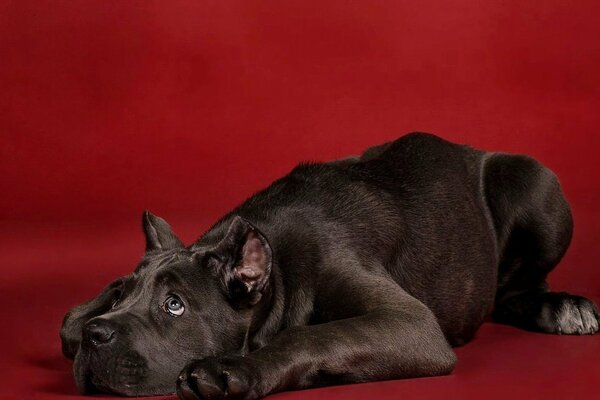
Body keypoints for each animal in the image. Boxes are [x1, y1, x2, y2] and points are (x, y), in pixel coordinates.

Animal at [62, 133, 600, 398]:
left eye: (174, 305)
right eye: (124, 295)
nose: (97, 336)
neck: (277, 268)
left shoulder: (411, 323)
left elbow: (311, 334)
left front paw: (236, 368)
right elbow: (68, 320)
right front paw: (84, 320)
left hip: (536, 183)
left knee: (517, 287)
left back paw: (561, 307)